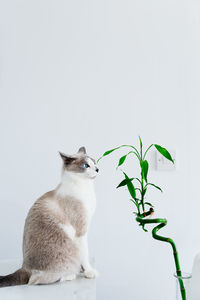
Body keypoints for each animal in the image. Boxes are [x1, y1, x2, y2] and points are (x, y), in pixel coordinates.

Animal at [0, 146, 98, 288]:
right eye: (86, 166)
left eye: (94, 162)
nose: (97, 169)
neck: (85, 187)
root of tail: (24, 267)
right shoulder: (81, 232)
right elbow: (85, 255)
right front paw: (89, 272)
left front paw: (83, 271)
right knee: (35, 280)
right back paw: (70, 275)